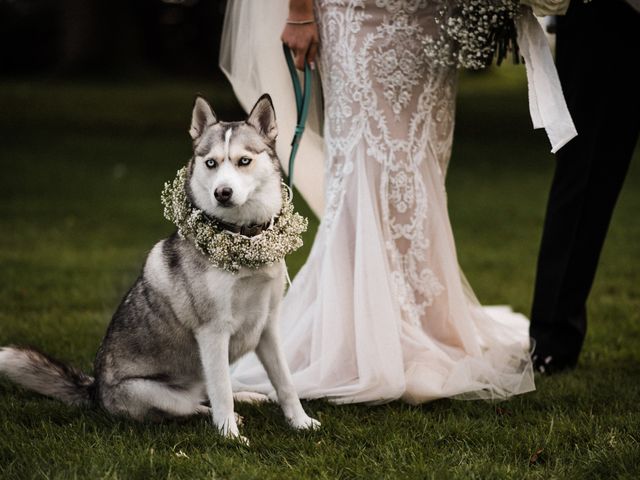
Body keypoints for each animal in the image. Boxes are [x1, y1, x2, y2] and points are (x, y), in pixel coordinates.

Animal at [0, 94, 320, 442]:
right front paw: (230, 436)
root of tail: (95, 391)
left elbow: (285, 383)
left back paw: (248, 396)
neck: (242, 238)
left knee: (206, 392)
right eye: (211, 163)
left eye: (243, 161)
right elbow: (221, 392)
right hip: (153, 392)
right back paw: (225, 414)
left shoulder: (268, 326)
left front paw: (300, 422)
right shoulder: (213, 332)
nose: (222, 193)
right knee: (192, 405)